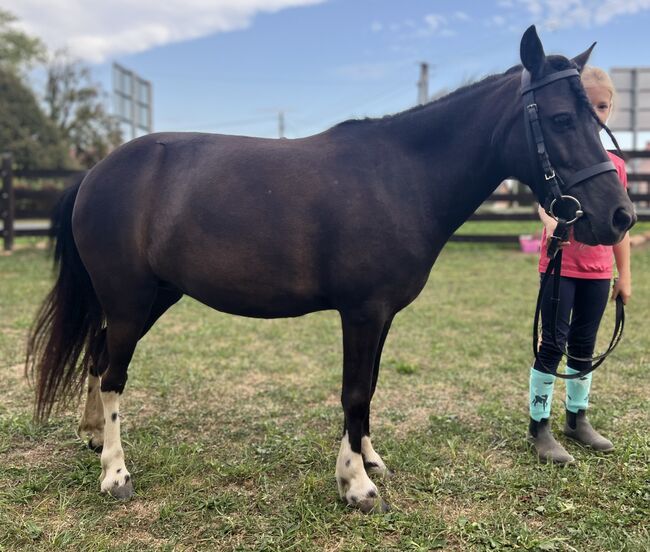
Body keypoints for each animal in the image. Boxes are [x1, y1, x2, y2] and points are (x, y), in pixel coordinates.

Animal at [26, 24, 632, 508]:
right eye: (561, 118)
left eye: (596, 117)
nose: (620, 216)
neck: (402, 176)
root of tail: (97, 172)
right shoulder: (361, 313)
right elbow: (354, 392)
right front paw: (357, 484)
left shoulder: (381, 316)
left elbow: (370, 388)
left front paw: (369, 458)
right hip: (130, 299)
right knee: (113, 372)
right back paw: (115, 473)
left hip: (154, 296)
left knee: (99, 355)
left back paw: (93, 439)